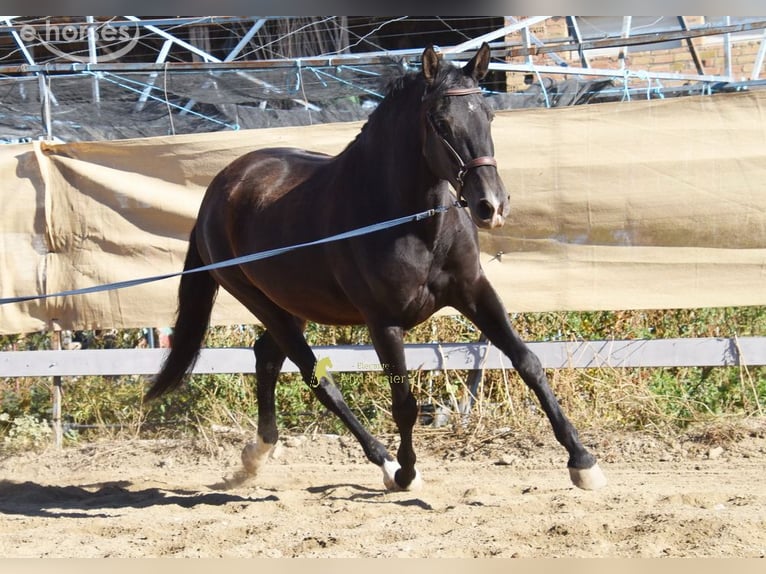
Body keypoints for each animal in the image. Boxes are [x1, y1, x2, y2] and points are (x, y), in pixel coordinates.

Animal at [145, 44, 607, 492]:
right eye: (440, 122)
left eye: (488, 116)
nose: (491, 206)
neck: (414, 223)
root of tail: (219, 188)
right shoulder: (383, 322)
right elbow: (404, 403)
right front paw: (406, 473)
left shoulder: (474, 291)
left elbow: (528, 363)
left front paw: (583, 462)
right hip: (261, 303)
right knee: (317, 379)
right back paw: (383, 463)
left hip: (293, 304)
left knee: (266, 358)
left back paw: (255, 456)